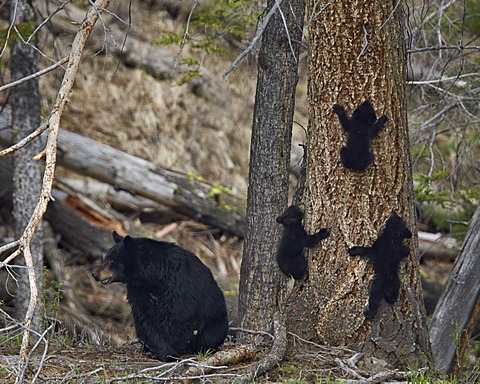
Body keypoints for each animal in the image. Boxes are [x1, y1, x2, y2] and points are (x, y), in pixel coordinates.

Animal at [94, 232, 230, 362]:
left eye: (112, 260)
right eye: (107, 258)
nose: (95, 273)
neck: (153, 278)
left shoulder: (177, 286)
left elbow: (178, 318)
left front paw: (168, 354)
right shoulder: (138, 291)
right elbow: (145, 320)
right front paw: (158, 351)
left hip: (215, 319)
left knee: (211, 335)